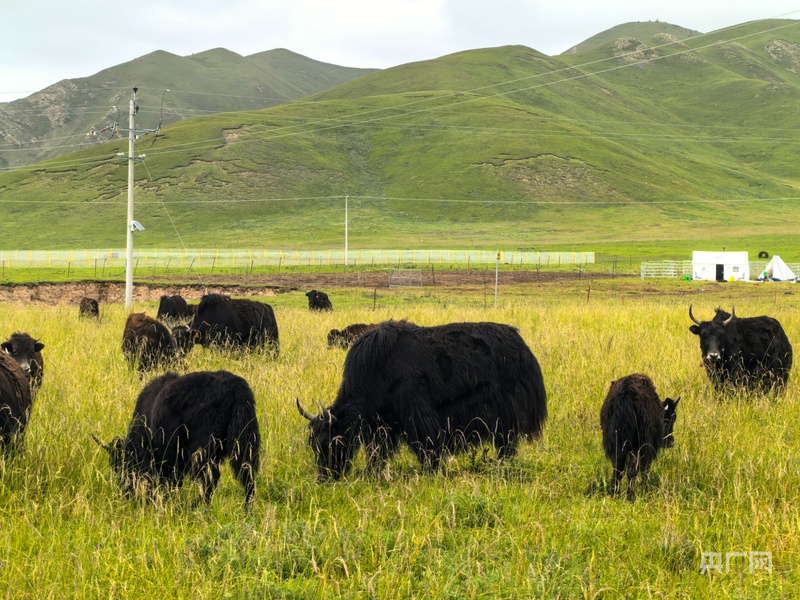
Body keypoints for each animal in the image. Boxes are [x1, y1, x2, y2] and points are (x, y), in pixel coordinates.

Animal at [93, 370, 261, 507]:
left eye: (120, 464)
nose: (124, 492)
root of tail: (237, 387)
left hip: (203, 449)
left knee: (210, 478)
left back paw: (197, 507)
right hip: (243, 444)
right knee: (248, 477)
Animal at [297, 320, 547, 481]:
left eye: (329, 442)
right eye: (312, 444)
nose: (324, 478)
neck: (377, 369)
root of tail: (522, 346)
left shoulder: (417, 413)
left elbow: (427, 446)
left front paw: (431, 473)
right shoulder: (382, 425)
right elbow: (377, 453)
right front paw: (374, 475)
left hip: (506, 412)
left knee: (507, 442)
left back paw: (501, 466)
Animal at [600, 373, 680, 502]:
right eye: (671, 417)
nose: (671, 442)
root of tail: (625, 396)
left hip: (616, 444)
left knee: (618, 469)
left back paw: (615, 494)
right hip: (637, 446)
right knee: (632, 470)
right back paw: (630, 498)